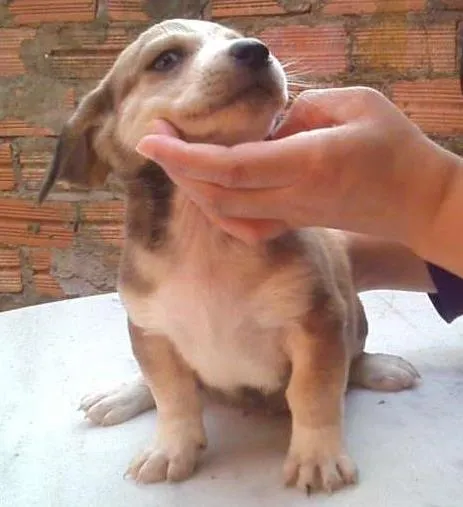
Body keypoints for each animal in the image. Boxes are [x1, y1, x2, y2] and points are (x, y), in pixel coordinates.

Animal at [38, 18, 419, 494]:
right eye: (165, 59)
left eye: (238, 38)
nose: (256, 50)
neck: (206, 232)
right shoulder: (151, 330)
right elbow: (172, 395)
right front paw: (172, 448)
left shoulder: (317, 321)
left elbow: (314, 394)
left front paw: (317, 456)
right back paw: (121, 394)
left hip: (355, 313)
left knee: (354, 356)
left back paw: (379, 368)